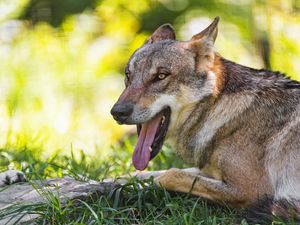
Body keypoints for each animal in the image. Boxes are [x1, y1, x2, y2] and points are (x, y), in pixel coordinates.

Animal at [110, 16, 300, 222]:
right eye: (128, 75)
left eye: (161, 76)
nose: (117, 112)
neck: (215, 107)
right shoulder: (208, 171)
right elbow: (140, 174)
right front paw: (105, 182)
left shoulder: (251, 190)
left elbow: (168, 175)